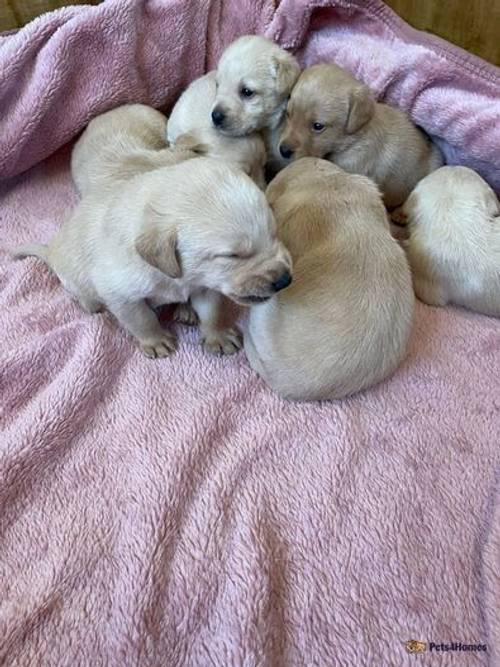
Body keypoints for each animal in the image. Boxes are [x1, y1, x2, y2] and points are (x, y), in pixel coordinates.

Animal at [13, 159, 292, 360]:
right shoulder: (120, 293)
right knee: (82, 294)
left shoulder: (205, 284)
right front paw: (156, 341)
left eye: (274, 234)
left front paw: (218, 335)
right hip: (74, 278)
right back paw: (92, 305)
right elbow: (142, 319)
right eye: (233, 256)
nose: (285, 280)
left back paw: (186, 309)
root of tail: (51, 250)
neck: (176, 277)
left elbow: (213, 312)